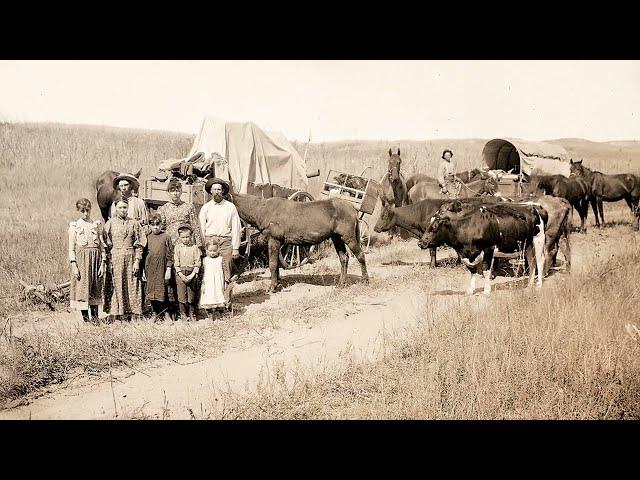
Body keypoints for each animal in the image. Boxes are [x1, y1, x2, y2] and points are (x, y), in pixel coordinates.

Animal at [228, 192, 368, 292]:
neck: (262, 209)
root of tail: (352, 208)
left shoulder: (273, 240)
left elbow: (272, 264)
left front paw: (272, 287)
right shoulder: (277, 243)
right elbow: (277, 265)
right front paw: (278, 284)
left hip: (348, 238)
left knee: (360, 255)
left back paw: (365, 280)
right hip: (337, 238)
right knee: (344, 259)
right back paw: (341, 284)